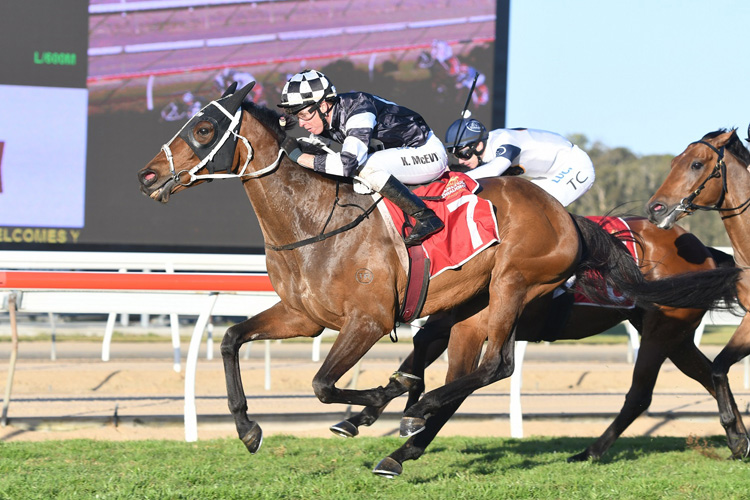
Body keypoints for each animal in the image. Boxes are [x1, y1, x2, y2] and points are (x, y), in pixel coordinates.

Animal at [336, 219, 750, 476]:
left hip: (661, 331)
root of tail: (704, 248)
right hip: (669, 332)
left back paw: (590, 451)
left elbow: (451, 388)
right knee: (710, 373)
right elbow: (418, 359)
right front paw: (367, 414)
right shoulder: (447, 323)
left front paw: (404, 443)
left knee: (641, 395)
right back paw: (738, 441)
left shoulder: (469, 326)